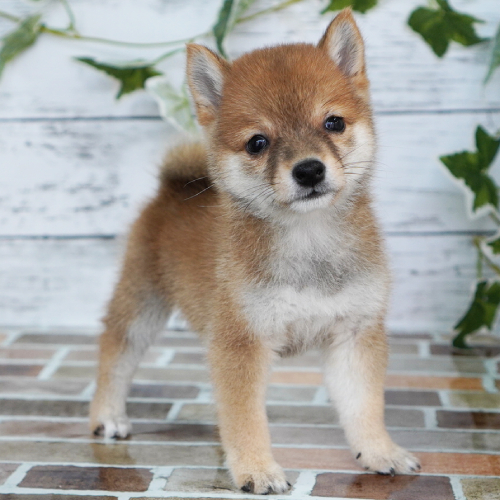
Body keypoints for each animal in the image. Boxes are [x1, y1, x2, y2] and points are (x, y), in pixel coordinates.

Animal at [89, 8, 418, 496]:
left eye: (333, 123)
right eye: (257, 143)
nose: (309, 170)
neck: (308, 240)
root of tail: (172, 186)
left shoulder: (355, 333)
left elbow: (364, 406)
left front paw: (380, 451)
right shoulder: (242, 341)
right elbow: (245, 418)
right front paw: (256, 469)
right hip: (143, 301)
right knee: (116, 350)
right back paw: (107, 415)